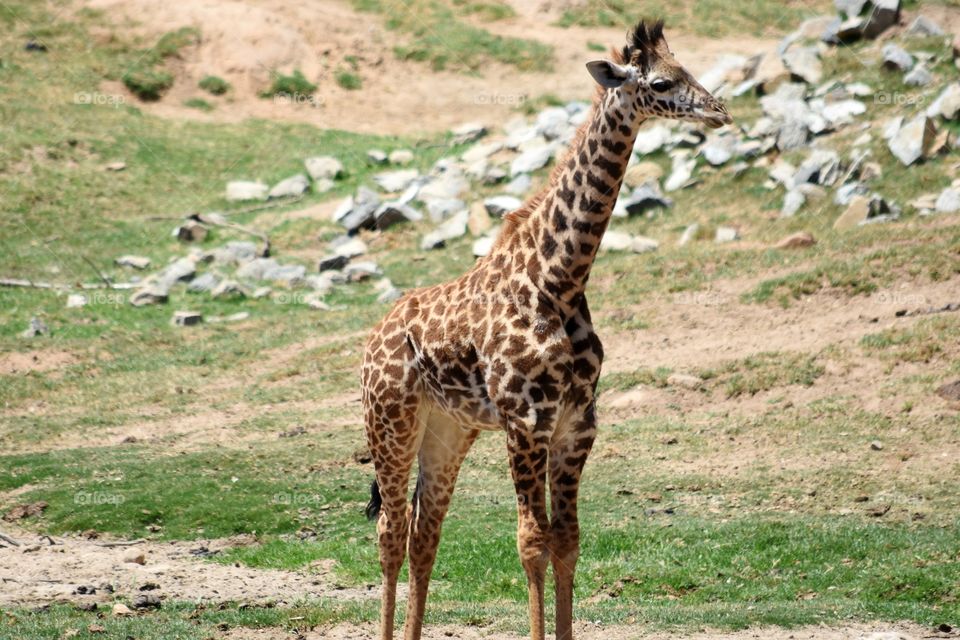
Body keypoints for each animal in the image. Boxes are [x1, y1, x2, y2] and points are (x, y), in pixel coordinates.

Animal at [361, 20, 731, 640]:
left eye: (689, 69)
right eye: (660, 81)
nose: (718, 110)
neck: (557, 280)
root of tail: (372, 340)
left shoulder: (577, 424)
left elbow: (568, 542)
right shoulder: (526, 421)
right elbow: (532, 542)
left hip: (448, 430)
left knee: (422, 533)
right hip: (390, 422)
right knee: (389, 532)